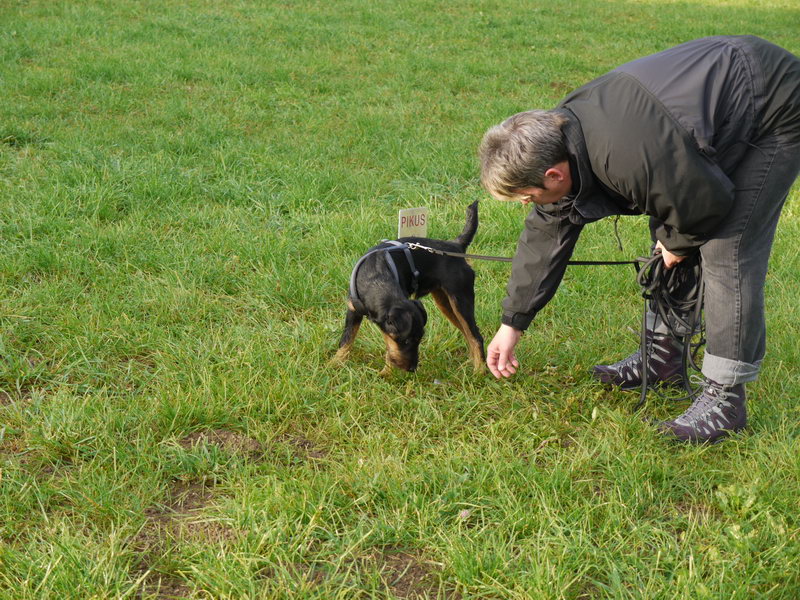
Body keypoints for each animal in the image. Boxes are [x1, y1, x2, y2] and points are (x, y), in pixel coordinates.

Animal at [332, 204, 484, 378]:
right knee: (467, 334)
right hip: (445, 303)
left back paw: (479, 372)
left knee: (476, 337)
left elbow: (388, 349)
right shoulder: (353, 311)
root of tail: (456, 246)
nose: (412, 368)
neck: (375, 279)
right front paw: (334, 364)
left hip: (460, 299)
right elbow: (346, 340)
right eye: (407, 341)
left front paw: (386, 373)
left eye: (420, 339)